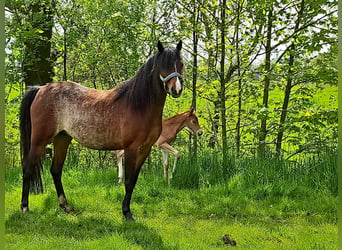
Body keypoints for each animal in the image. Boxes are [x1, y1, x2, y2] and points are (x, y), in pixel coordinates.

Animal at [19, 41, 184, 221]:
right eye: (163, 65)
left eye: (181, 64)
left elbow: (133, 181)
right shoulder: (131, 148)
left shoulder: (145, 149)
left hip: (62, 139)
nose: (176, 89)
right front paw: (127, 212)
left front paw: (127, 210)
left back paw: (65, 206)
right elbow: (128, 181)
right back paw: (25, 208)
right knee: (28, 168)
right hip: (39, 140)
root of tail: (40, 89)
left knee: (55, 170)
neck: (139, 105)